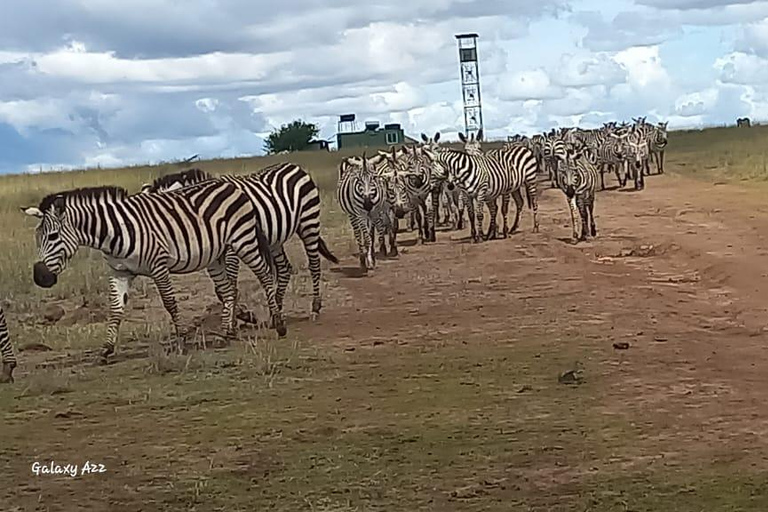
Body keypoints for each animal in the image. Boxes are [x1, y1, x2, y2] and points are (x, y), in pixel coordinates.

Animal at [26, 183, 288, 364]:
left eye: (53, 236)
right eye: (37, 238)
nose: (40, 278)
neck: (114, 232)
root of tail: (231, 186)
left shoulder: (158, 265)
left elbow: (170, 303)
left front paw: (181, 340)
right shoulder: (120, 272)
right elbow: (115, 310)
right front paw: (106, 349)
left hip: (244, 241)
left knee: (265, 275)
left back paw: (279, 325)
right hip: (217, 254)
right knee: (227, 289)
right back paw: (225, 334)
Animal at [142, 164, 340, 322]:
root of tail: (295, 167)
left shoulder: (232, 248)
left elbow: (230, 287)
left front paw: (239, 318)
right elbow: (222, 289)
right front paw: (241, 316)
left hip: (308, 222)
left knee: (314, 264)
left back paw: (314, 308)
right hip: (275, 239)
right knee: (284, 268)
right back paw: (276, 309)